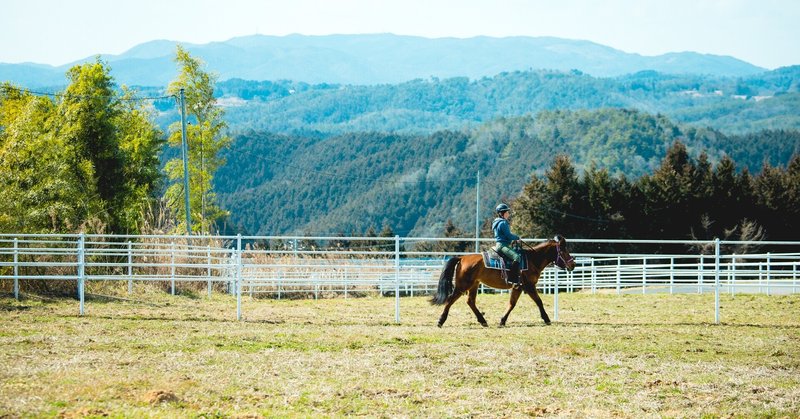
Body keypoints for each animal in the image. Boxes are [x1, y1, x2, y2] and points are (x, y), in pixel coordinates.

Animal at [432, 236, 576, 328]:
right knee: (450, 300)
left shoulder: (518, 287)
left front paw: (502, 321)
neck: (532, 260)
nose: (573, 265)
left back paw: (483, 321)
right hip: (462, 286)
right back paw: (440, 321)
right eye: (563, 251)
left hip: (474, 285)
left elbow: (512, 304)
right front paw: (546, 319)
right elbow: (538, 301)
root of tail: (462, 258)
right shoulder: (529, 286)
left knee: (470, 302)